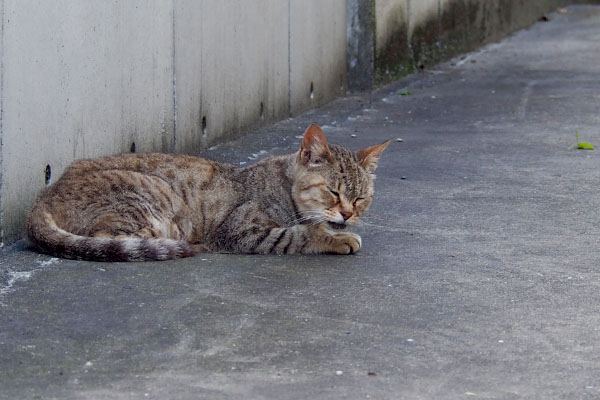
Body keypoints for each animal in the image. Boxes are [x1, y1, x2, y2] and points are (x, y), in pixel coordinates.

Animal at [27, 123, 390, 260]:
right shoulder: (242, 230)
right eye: (333, 192)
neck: (284, 187)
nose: (348, 214)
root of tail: (44, 195)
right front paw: (336, 238)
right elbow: (298, 234)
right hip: (154, 196)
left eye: (360, 198)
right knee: (108, 238)